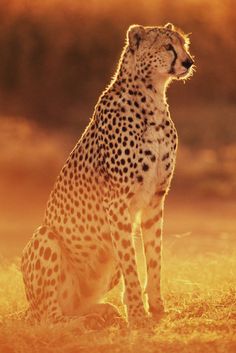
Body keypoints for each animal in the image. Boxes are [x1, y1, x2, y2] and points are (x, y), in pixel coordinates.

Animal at [18, 23, 194, 328]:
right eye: (167, 47)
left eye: (183, 44)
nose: (188, 62)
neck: (153, 96)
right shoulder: (117, 204)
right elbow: (132, 265)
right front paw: (138, 315)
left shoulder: (155, 200)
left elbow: (154, 258)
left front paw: (157, 308)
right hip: (46, 237)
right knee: (50, 317)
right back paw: (82, 322)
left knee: (75, 304)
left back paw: (101, 311)